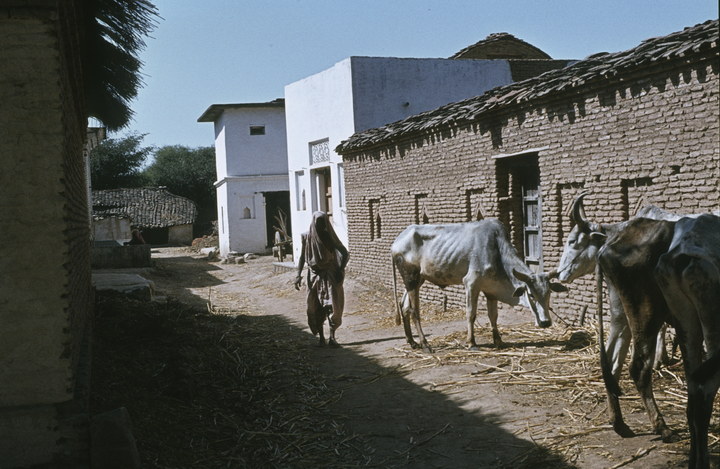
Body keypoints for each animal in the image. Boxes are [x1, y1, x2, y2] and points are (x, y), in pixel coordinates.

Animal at [391, 219, 568, 352]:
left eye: (549, 293)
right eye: (531, 294)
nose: (545, 322)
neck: (496, 249)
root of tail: (396, 242)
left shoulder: (491, 291)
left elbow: (493, 316)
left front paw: (498, 340)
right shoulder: (471, 283)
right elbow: (471, 314)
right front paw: (472, 343)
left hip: (417, 280)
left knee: (404, 306)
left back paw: (412, 342)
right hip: (411, 278)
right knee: (414, 311)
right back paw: (425, 344)